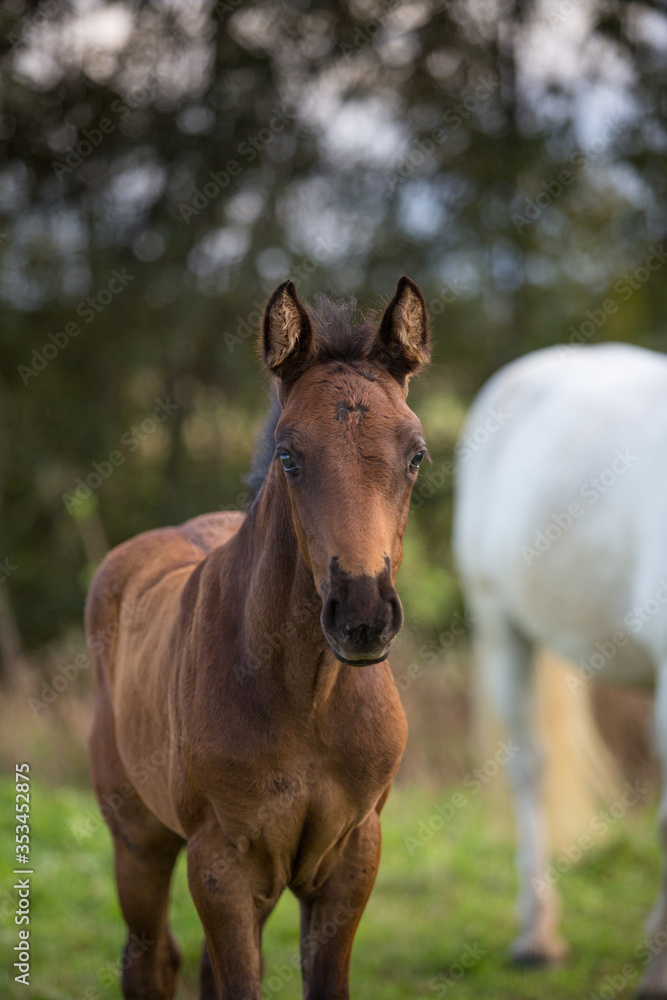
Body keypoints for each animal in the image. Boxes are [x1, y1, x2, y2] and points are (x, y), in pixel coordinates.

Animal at [86, 276, 430, 1000]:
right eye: (288, 455)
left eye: (416, 455)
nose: (361, 613)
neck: (307, 697)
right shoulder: (220, 863)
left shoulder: (351, 855)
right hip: (138, 839)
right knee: (148, 960)